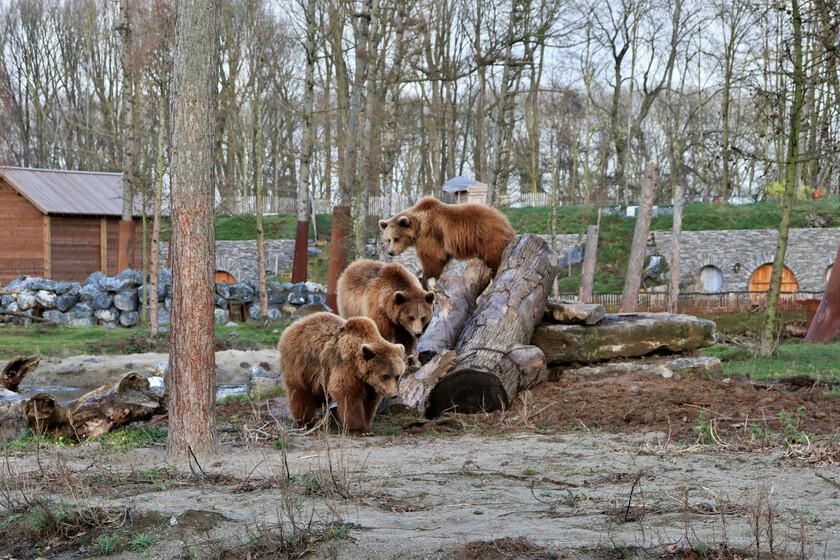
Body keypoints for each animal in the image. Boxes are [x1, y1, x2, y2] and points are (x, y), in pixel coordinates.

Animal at [378, 196, 515, 286]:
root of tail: (504, 220)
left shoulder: (431, 234)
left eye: (396, 238)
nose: (391, 252)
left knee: (496, 259)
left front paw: (425, 280)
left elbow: (432, 259)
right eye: (389, 239)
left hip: (490, 239)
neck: (419, 225)